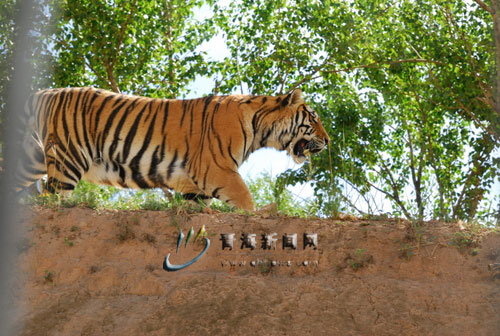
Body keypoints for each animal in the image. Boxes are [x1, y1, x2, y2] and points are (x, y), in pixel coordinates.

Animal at [15, 86, 330, 210]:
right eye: (313, 118)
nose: (328, 141)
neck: (259, 128)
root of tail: (43, 92)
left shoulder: (195, 186)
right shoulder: (217, 170)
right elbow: (245, 201)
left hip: (30, 160)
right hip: (67, 162)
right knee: (52, 198)